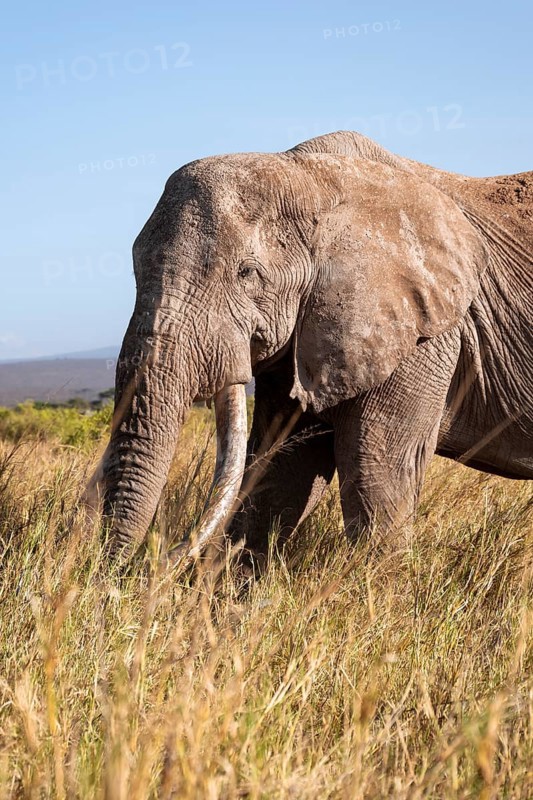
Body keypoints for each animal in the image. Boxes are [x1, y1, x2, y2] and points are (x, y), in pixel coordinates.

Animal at [92, 130, 533, 564]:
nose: (142, 562)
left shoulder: (426, 332)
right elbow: (282, 468)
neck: (312, 177)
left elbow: (377, 470)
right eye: (135, 269)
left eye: (247, 273)